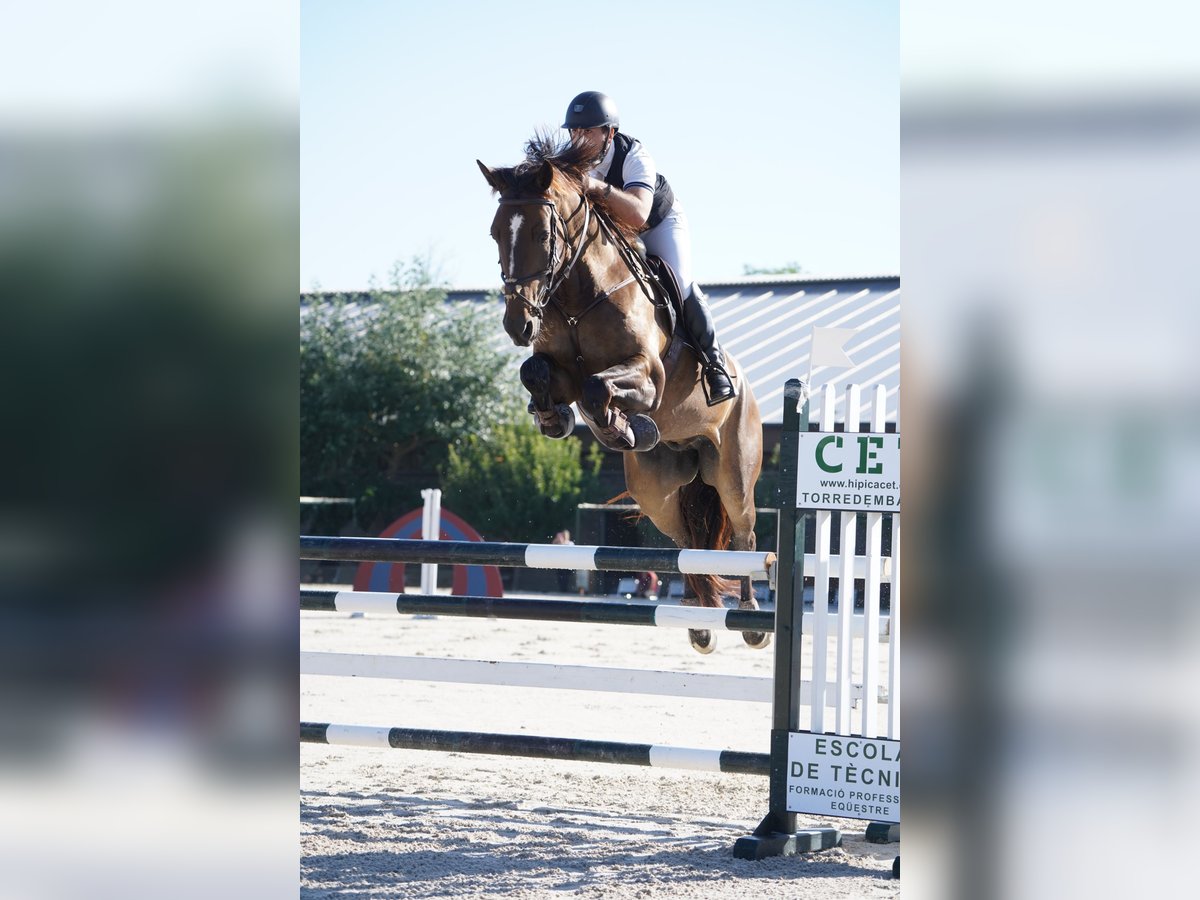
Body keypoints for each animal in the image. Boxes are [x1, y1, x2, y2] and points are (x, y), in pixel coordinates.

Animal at [475, 132, 763, 657]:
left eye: (542, 235)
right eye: (495, 233)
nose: (517, 324)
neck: (578, 296)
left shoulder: (648, 376)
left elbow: (597, 388)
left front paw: (623, 428)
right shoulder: (558, 368)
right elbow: (537, 372)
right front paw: (555, 419)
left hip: (733, 471)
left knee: (744, 536)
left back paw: (751, 619)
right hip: (658, 493)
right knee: (687, 543)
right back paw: (698, 622)